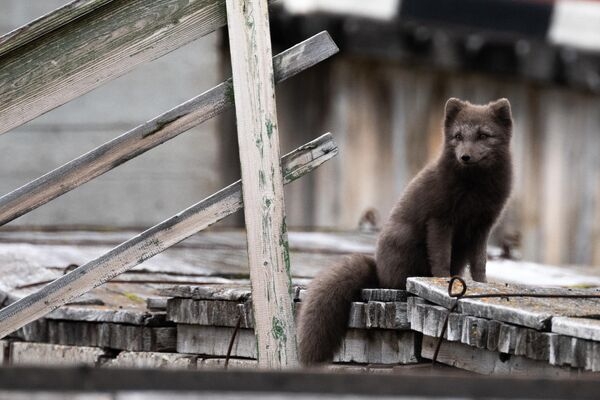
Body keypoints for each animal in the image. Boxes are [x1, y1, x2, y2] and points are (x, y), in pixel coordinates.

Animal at [298, 97, 512, 366]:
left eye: (484, 135)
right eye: (458, 135)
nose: (465, 156)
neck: (475, 192)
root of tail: (378, 271)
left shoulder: (482, 226)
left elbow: (480, 263)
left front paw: (482, 284)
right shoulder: (440, 219)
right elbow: (440, 257)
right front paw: (444, 281)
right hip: (404, 240)